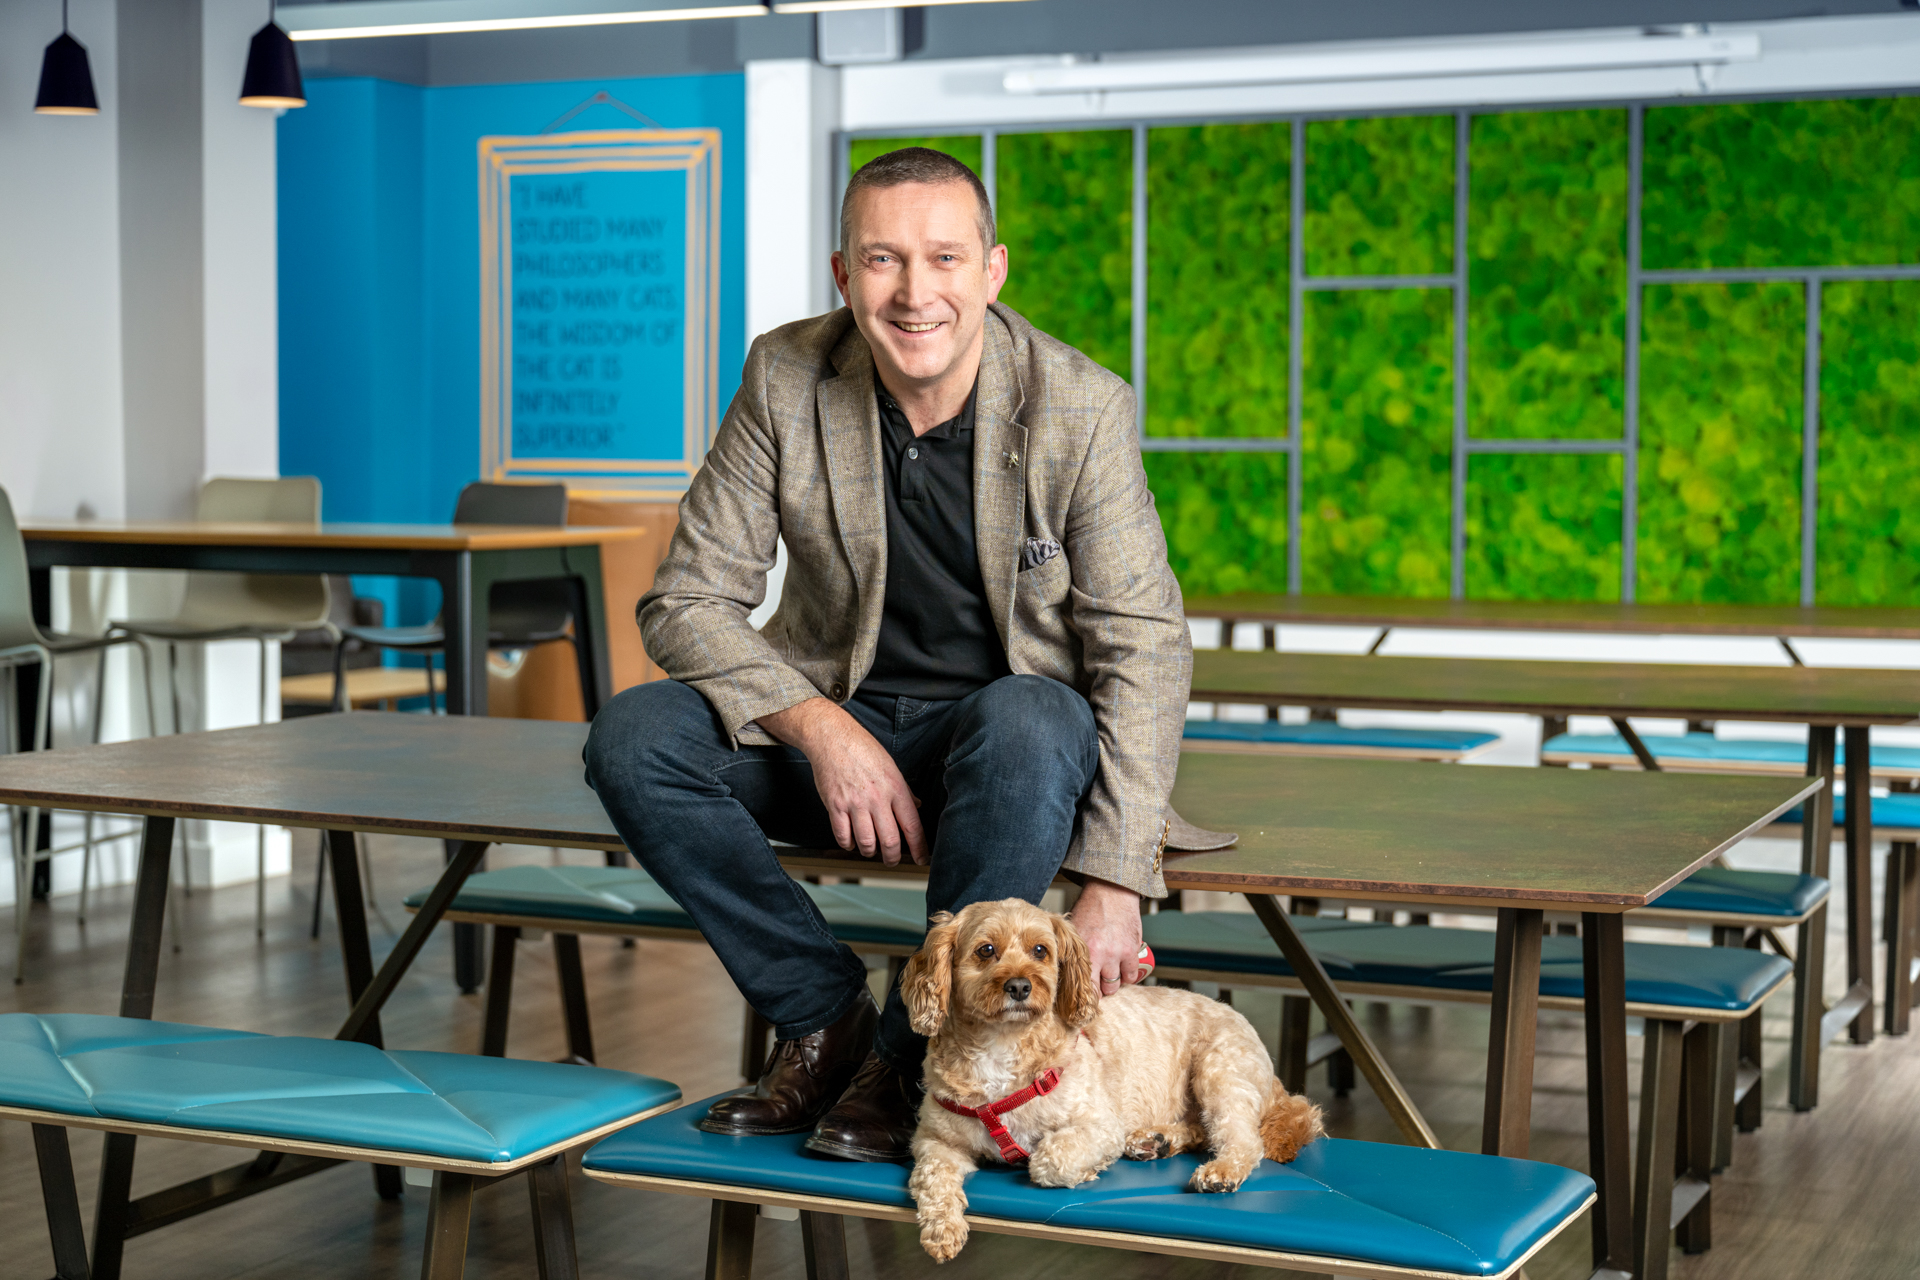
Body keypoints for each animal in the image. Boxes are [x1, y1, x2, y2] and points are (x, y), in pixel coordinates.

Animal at [898, 901, 1320, 1258]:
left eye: (1040, 951)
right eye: (985, 950)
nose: (1019, 986)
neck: (1002, 1043)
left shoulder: (1100, 1126)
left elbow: (1049, 1159)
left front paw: (1084, 1170)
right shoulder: (935, 1142)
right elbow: (931, 1178)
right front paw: (942, 1230)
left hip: (1219, 1071)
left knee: (1244, 1141)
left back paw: (1221, 1170)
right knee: (1201, 1129)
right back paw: (1158, 1140)